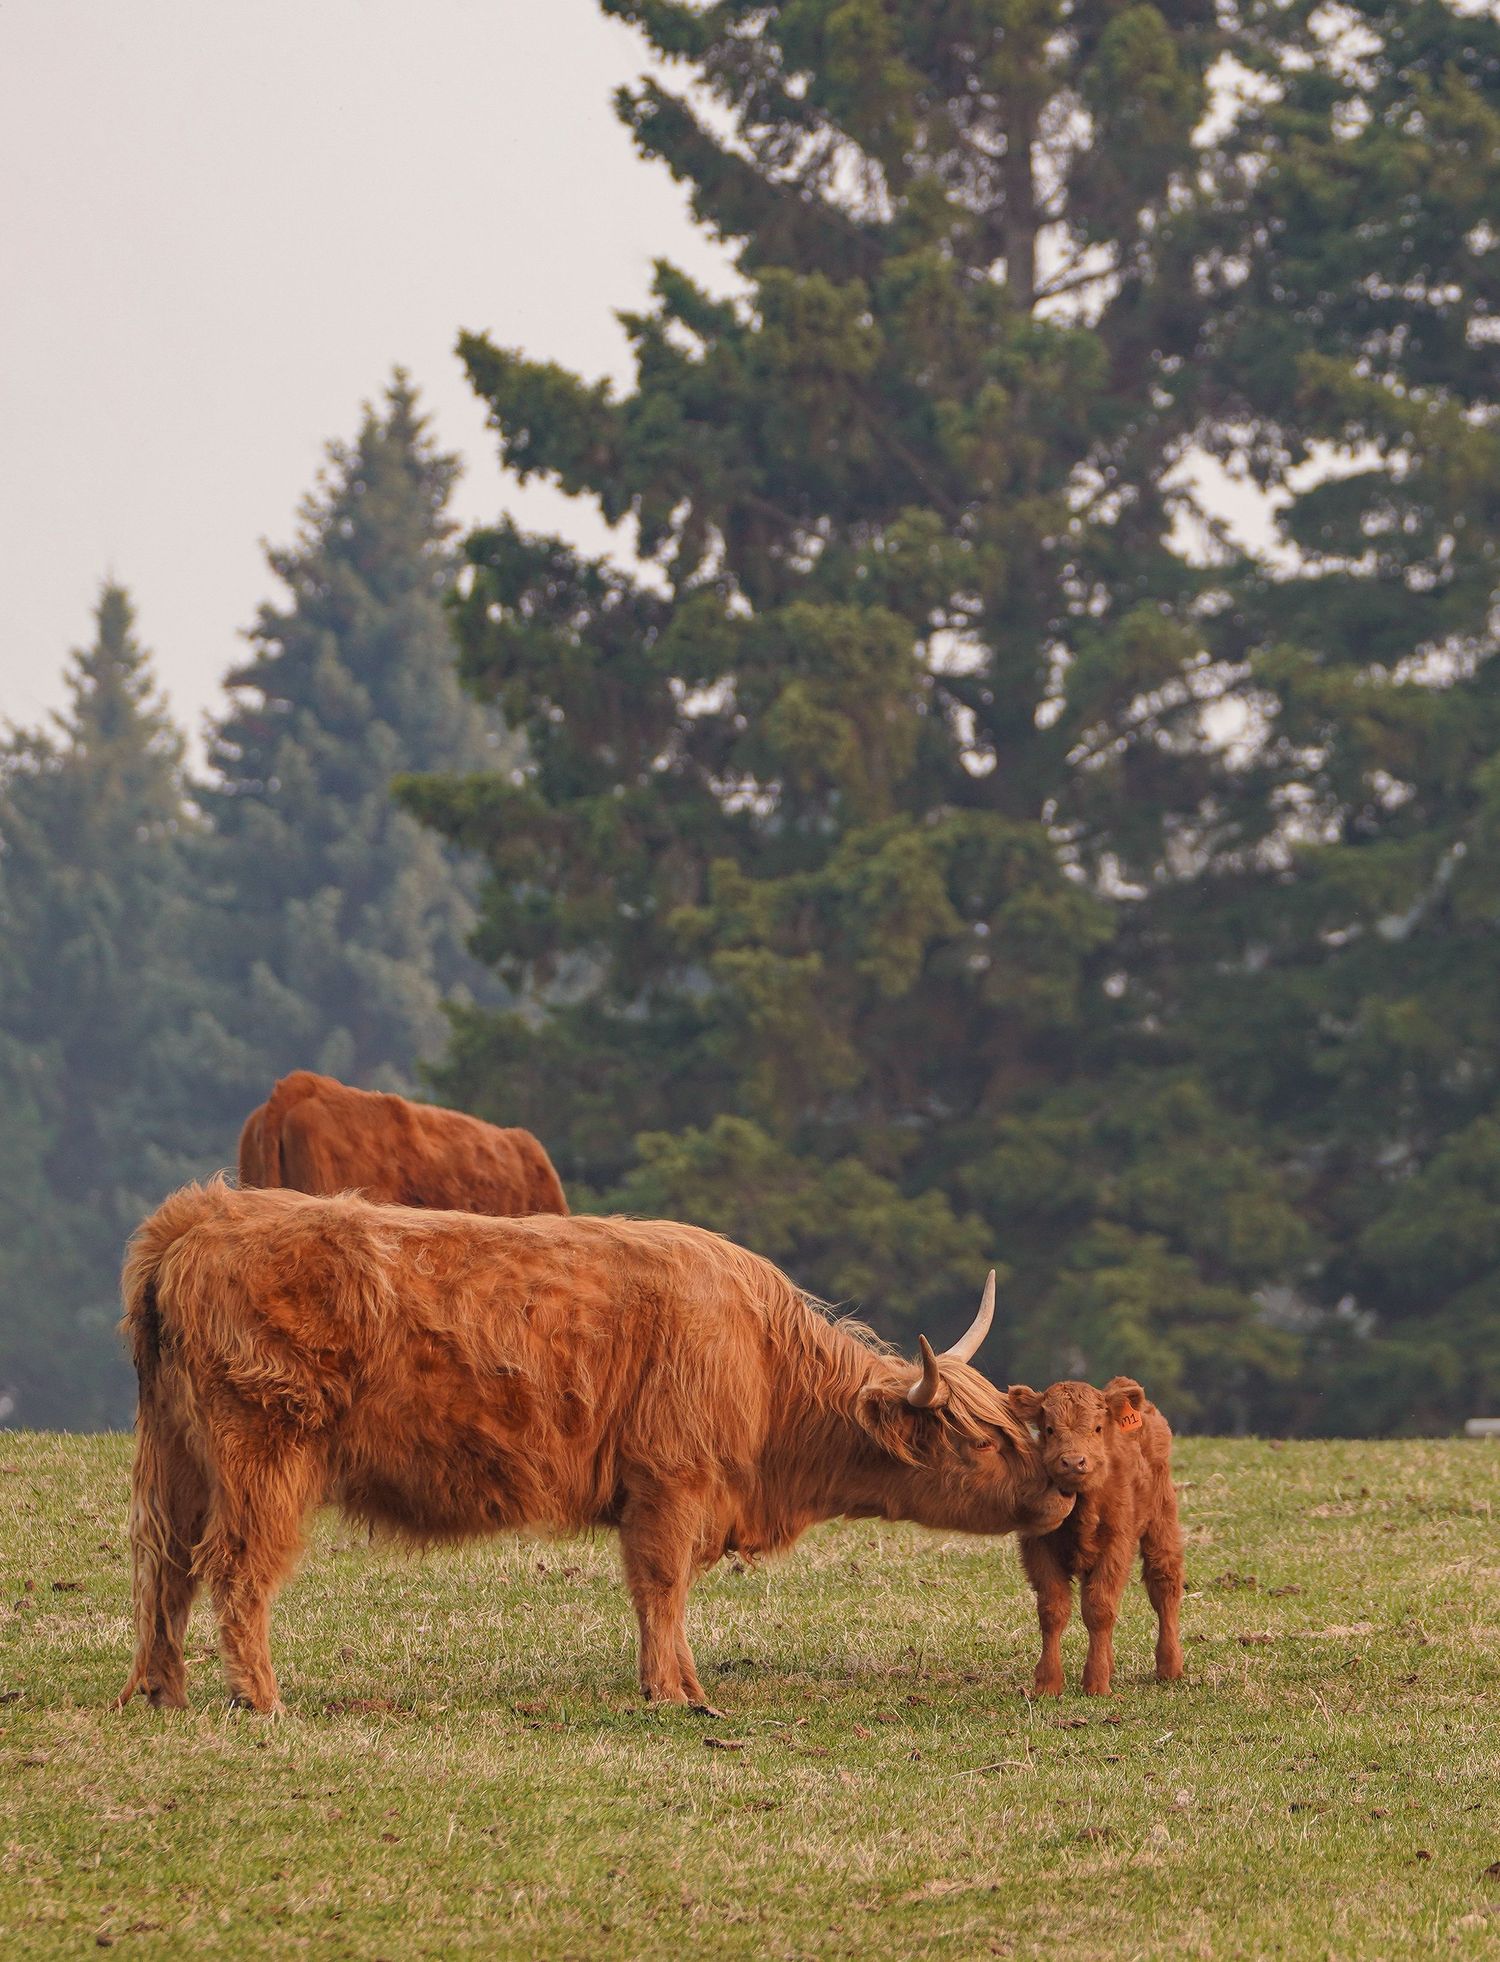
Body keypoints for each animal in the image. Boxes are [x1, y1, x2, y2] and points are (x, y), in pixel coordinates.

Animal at [115, 1180, 1073, 1716]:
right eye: (980, 1438)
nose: (1065, 1485)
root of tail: (201, 1217)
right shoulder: (670, 1485)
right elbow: (662, 1589)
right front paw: (678, 1695)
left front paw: (677, 1688)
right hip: (262, 1451)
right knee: (236, 1567)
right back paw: (261, 1700)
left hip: (175, 1455)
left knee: (165, 1565)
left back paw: (162, 1694)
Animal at [1005, 1376, 1184, 1697]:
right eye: (1048, 1429)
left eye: (1097, 1428)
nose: (1074, 1461)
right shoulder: (1038, 1549)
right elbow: (1053, 1610)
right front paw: (1048, 1683)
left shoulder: (1116, 1546)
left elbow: (1099, 1609)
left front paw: (1097, 1683)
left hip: (1162, 1524)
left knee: (1164, 1586)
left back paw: (1170, 1667)